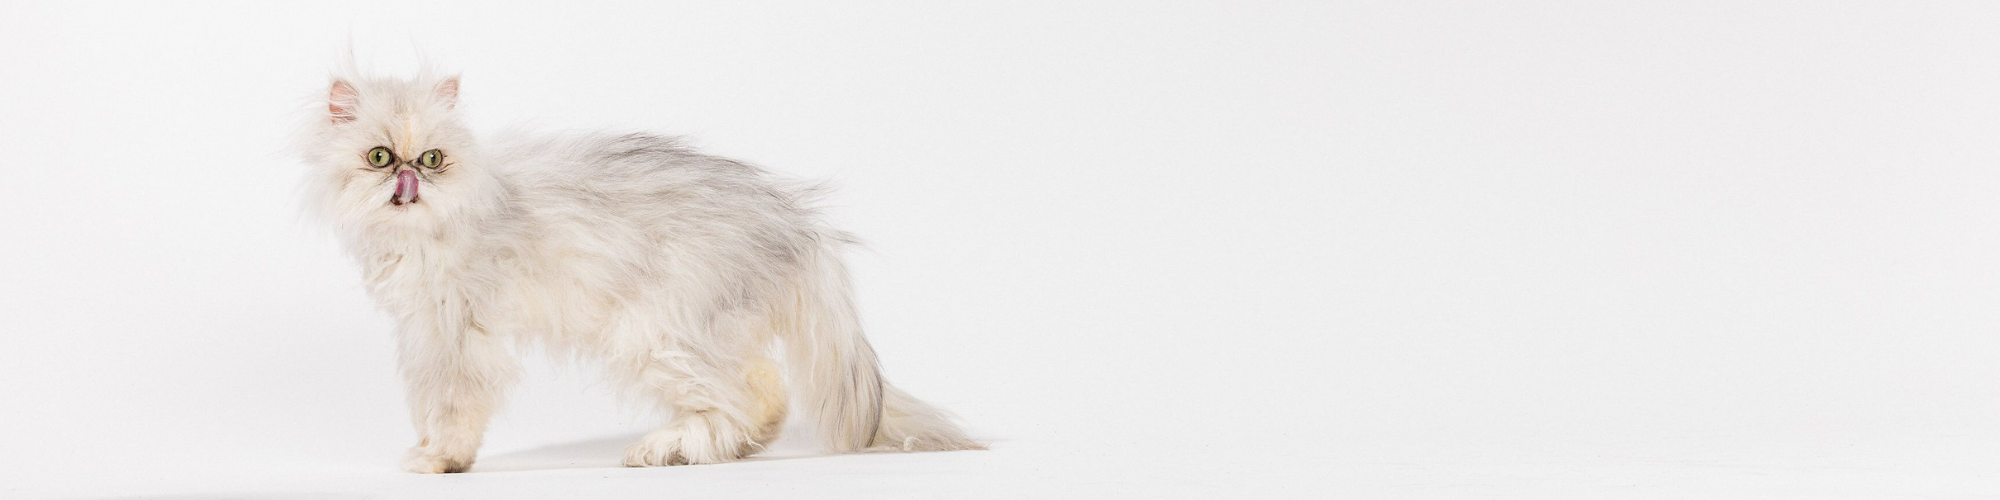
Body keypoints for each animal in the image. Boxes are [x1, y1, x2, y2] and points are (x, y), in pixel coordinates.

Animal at [298, 69, 984, 472]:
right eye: (379, 157)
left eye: (432, 159)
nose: (406, 175)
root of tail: (796, 225)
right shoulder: (425, 329)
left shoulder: (454, 337)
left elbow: (449, 408)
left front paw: (438, 461)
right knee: (765, 391)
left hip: (657, 330)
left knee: (750, 398)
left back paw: (668, 449)